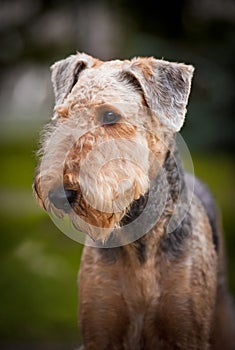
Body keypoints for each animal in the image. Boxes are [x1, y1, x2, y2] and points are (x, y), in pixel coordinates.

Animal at [33, 52, 235, 350]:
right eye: (63, 115)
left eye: (109, 115)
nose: (60, 194)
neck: (139, 239)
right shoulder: (100, 328)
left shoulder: (186, 331)